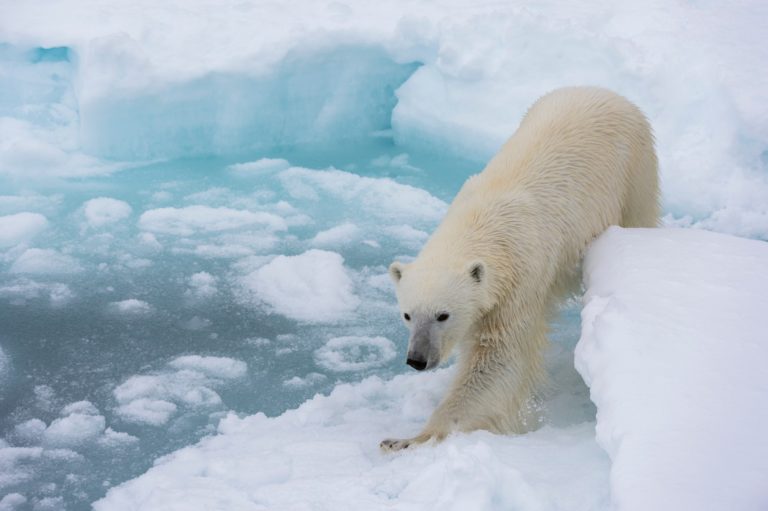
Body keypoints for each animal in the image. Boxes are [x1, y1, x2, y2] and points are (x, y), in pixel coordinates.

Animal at [380, 88, 656, 452]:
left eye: (443, 315)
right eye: (407, 315)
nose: (417, 359)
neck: (482, 222)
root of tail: (607, 93)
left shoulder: (518, 278)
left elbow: (499, 358)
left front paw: (410, 438)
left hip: (634, 169)